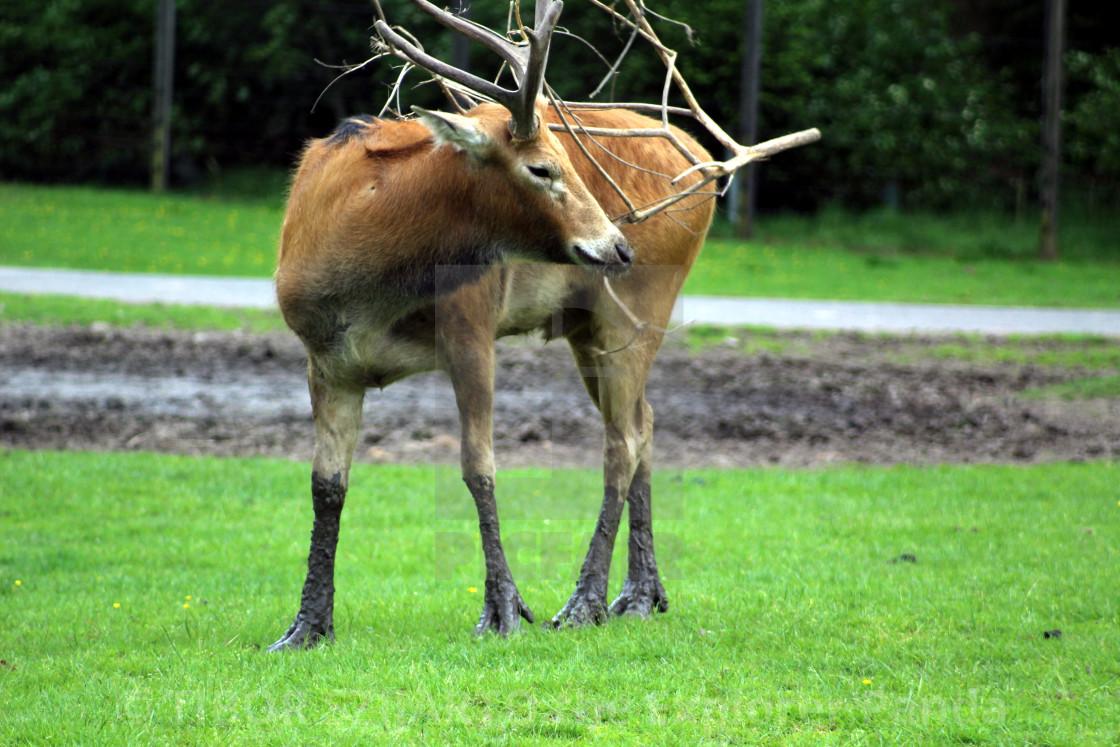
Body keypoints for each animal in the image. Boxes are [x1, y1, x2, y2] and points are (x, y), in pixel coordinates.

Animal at [268, 0, 815, 649]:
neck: (358, 284)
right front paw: (307, 626)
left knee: (621, 441)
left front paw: (503, 609)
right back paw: (641, 594)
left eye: (564, 160)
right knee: (646, 419)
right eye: (542, 168)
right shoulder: (325, 359)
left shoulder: (471, 324)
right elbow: (326, 483)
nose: (619, 245)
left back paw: (585, 602)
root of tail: (706, 161)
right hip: (585, 327)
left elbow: (478, 465)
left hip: (640, 307)